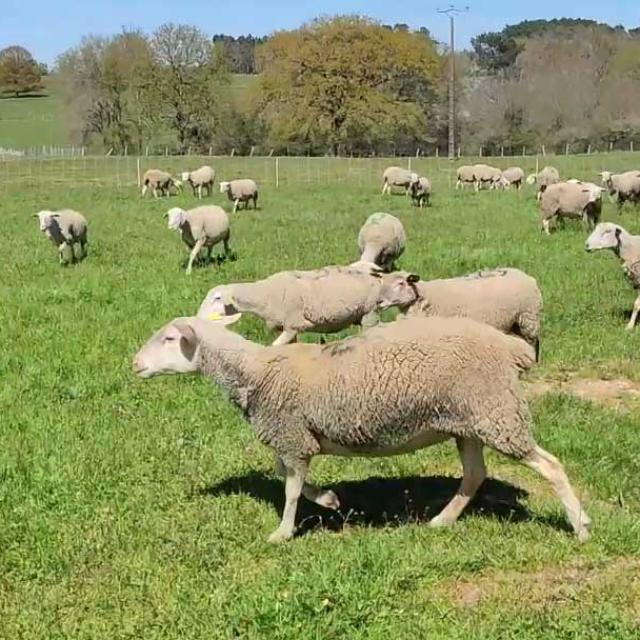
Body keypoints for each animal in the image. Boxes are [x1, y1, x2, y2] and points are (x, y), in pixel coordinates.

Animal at [135, 312, 592, 544]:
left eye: (170, 339)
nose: (134, 364)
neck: (257, 371)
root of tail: (511, 349)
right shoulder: (295, 438)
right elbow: (286, 475)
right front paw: (330, 499)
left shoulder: (292, 436)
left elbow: (289, 489)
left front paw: (282, 532)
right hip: (469, 423)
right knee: (475, 474)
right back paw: (442, 521)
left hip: (497, 414)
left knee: (551, 466)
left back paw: (580, 526)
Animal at [198, 264, 422, 348]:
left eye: (217, 298)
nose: (198, 319)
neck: (264, 294)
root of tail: (377, 273)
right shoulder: (287, 328)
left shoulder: (293, 325)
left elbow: (274, 347)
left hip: (370, 313)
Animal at [378, 266, 544, 360]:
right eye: (382, 283)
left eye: (401, 283)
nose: (379, 301)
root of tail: (524, 274)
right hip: (514, 322)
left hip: (528, 318)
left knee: (532, 342)